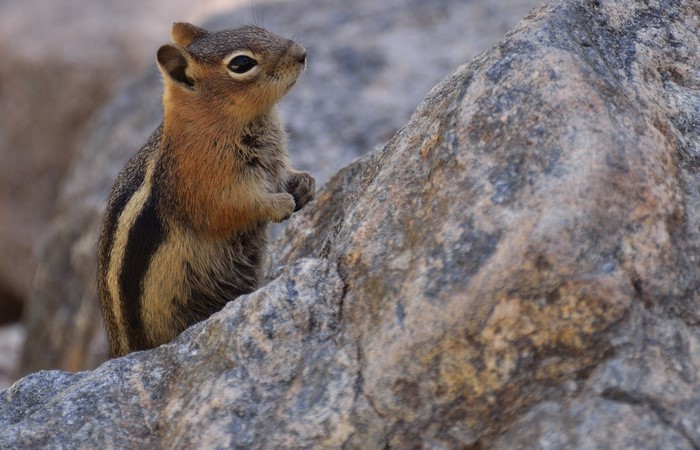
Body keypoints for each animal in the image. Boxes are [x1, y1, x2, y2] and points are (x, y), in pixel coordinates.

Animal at [97, 22, 315, 358]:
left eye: (256, 28)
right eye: (241, 64)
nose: (302, 53)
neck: (207, 124)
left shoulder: (274, 165)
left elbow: (286, 176)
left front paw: (305, 184)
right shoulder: (206, 186)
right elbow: (232, 209)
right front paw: (280, 204)